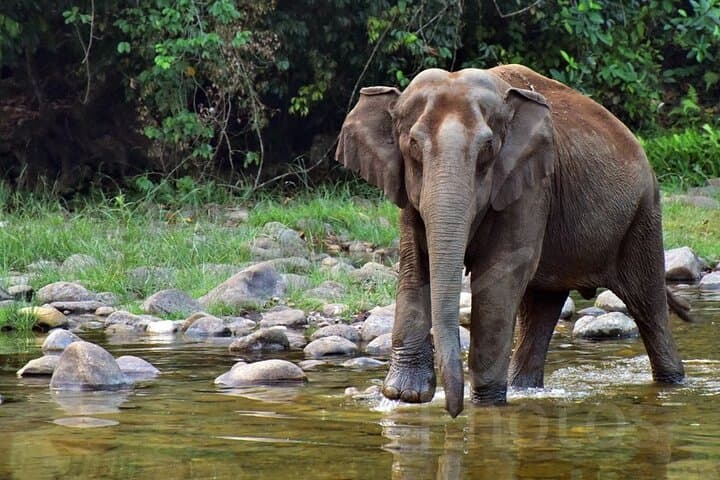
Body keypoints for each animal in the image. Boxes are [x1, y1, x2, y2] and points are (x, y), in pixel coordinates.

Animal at [336, 64, 692, 417]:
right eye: (412, 144)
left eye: (487, 148)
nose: (453, 412)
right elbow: (414, 265)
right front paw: (404, 396)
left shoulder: (531, 185)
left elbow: (501, 273)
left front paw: (483, 401)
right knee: (541, 306)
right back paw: (525, 390)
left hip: (643, 216)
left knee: (647, 304)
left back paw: (672, 383)